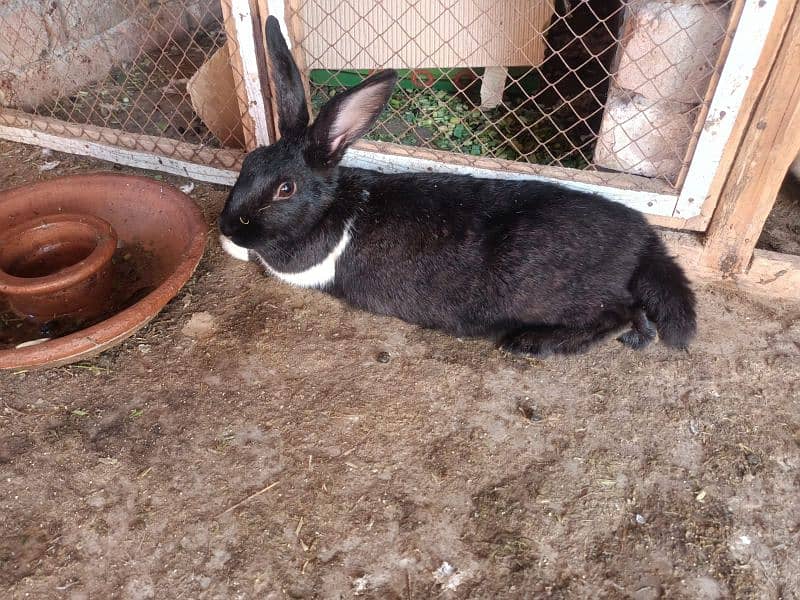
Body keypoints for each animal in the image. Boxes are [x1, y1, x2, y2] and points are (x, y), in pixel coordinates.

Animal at [217, 16, 692, 356]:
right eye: (249, 162)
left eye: (286, 189)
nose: (227, 226)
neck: (333, 206)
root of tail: (644, 240)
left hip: (555, 293)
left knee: (619, 312)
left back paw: (533, 344)